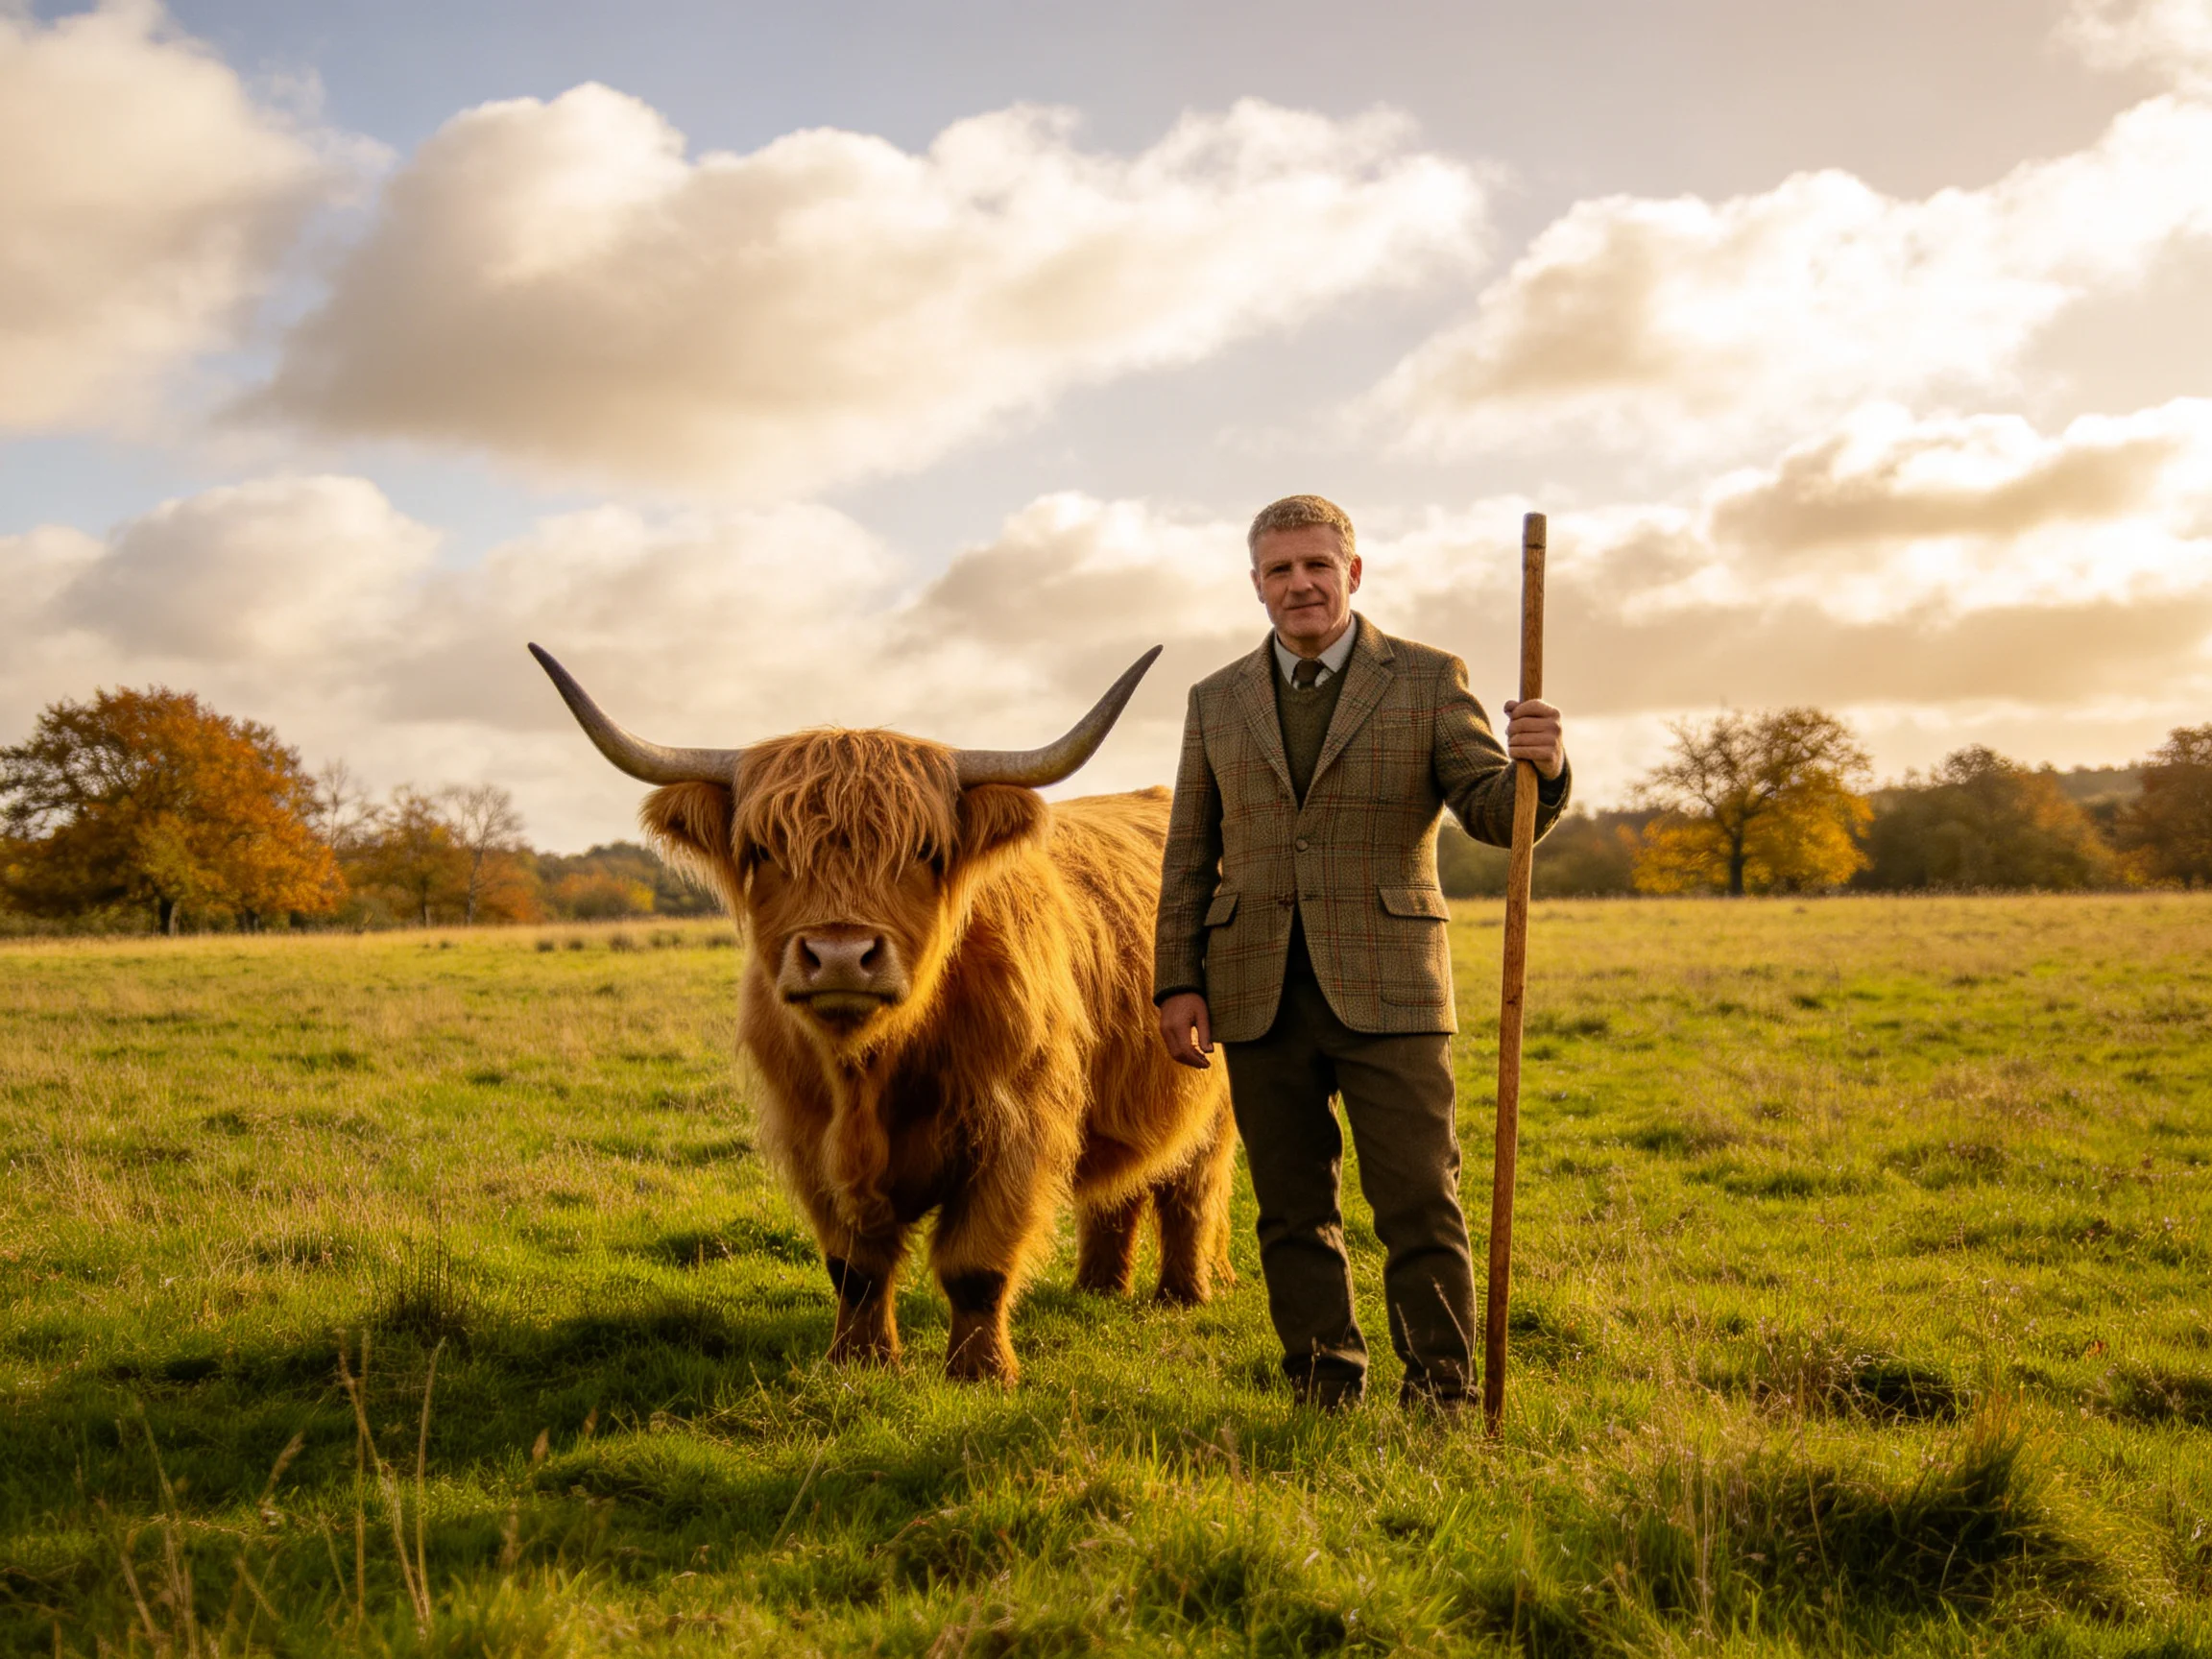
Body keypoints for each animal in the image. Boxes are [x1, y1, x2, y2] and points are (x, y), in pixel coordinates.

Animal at [529, 645, 1235, 1383]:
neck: (871, 1071)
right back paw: (1098, 1288)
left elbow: (976, 1265)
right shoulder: (810, 1138)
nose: (841, 956)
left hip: (1210, 1091)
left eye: (925, 852)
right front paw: (858, 1360)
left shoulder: (1017, 1128)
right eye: (765, 851)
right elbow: (855, 1268)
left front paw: (981, 1372)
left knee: (1192, 1190)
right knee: (1120, 1188)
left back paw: (1184, 1294)